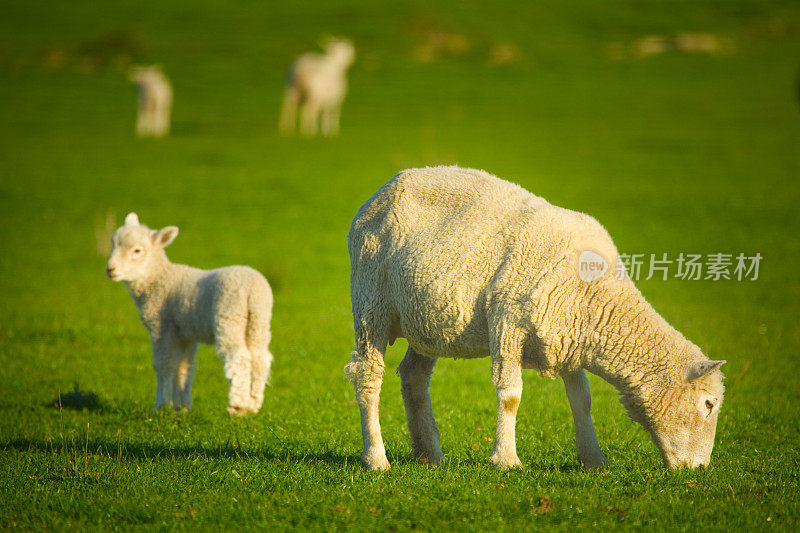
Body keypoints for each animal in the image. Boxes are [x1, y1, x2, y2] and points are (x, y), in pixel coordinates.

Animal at [107, 213, 276, 416]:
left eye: (137, 251)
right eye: (113, 244)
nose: (110, 269)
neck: (157, 279)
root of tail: (253, 288)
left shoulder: (162, 327)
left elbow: (163, 365)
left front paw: (160, 405)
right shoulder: (185, 334)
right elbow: (184, 368)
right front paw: (182, 407)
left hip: (230, 315)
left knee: (239, 357)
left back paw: (237, 406)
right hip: (259, 319)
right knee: (260, 358)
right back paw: (253, 404)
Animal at [344, 166, 724, 470]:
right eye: (708, 404)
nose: (699, 469)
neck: (597, 297)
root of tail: (383, 191)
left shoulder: (567, 336)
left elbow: (582, 399)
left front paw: (593, 459)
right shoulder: (507, 322)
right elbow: (510, 395)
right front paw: (506, 460)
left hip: (427, 318)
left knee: (414, 377)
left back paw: (430, 456)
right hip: (371, 301)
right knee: (368, 378)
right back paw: (376, 459)